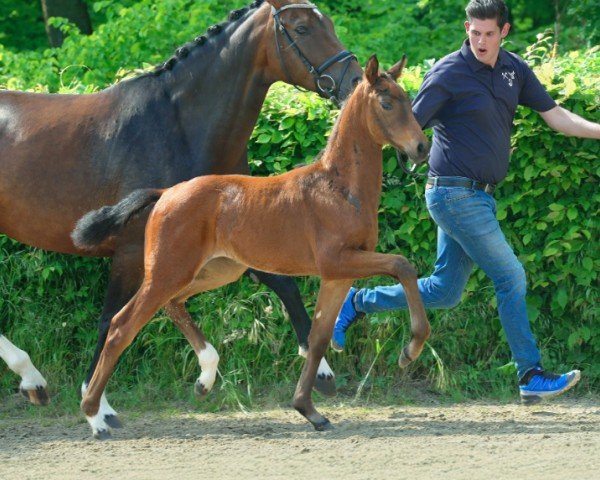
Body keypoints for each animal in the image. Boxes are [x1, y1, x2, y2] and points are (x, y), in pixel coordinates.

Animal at [74, 54, 432, 436]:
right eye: (386, 103)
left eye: (408, 99)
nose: (421, 148)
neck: (338, 188)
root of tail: (165, 193)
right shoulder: (338, 261)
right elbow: (402, 265)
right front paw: (411, 348)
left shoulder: (338, 274)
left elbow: (318, 337)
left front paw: (309, 410)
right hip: (168, 271)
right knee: (121, 326)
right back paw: (95, 414)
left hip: (216, 271)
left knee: (172, 304)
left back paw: (204, 378)